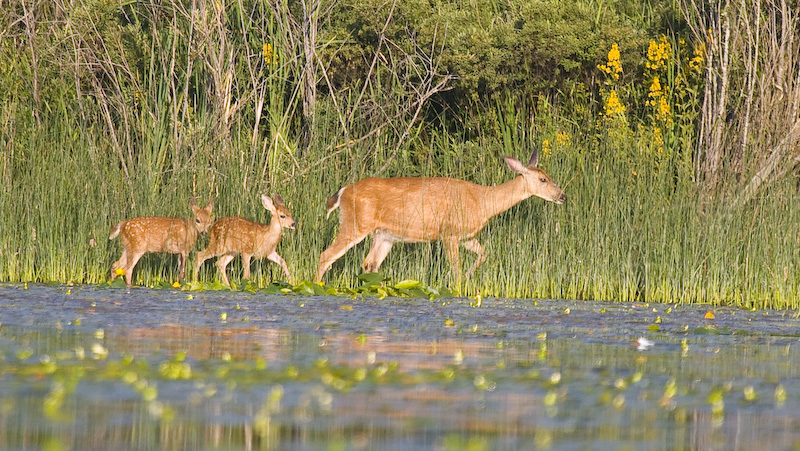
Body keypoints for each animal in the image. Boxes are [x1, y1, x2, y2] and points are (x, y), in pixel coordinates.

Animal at [316, 148, 564, 286]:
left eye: (549, 176)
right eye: (543, 179)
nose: (563, 196)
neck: (483, 201)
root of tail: (342, 192)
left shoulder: (466, 236)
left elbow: (484, 254)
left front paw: (468, 278)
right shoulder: (449, 233)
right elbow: (455, 267)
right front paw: (458, 285)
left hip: (385, 235)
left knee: (369, 264)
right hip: (355, 223)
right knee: (325, 255)